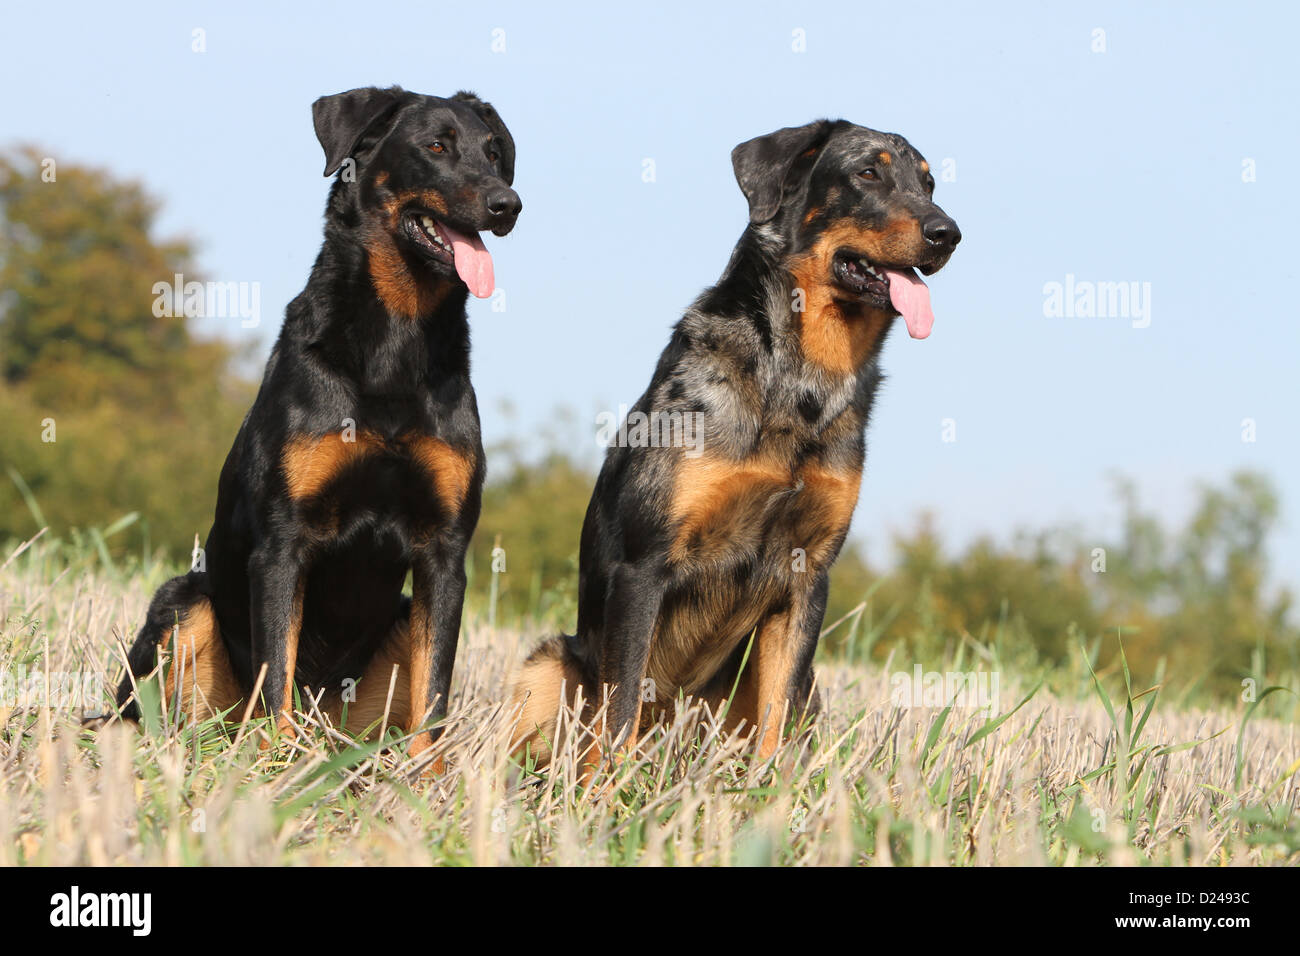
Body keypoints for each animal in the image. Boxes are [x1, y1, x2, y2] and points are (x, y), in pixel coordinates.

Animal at [111, 85, 517, 764]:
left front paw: (429, 779)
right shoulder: (284, 540)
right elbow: (277, 666)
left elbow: (434, 691)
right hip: (184, 605)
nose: (507, 204)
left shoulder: (444, 550)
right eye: (436, 146)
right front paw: (277, 763)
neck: (394, 342)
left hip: (392, 631)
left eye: (494, 153)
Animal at [506, 119, 956, 770]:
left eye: (929, 184)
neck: (798, 382)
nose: (949, 233)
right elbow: (619, 714)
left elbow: (776, 715)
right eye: (868, 172)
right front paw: (607, 791)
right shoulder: (644, 565)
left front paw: (770, 790)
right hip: (547, 667)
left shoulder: (807, 577)